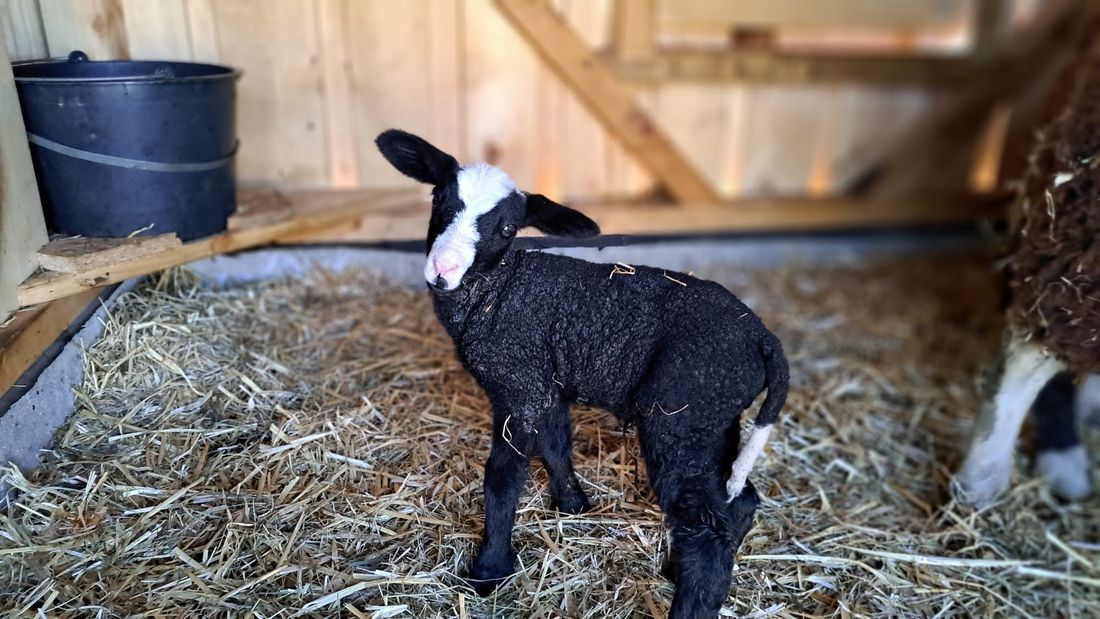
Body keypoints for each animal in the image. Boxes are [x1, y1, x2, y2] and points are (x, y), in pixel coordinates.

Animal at [376, 129, 788, 617]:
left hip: (682, 410)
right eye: (439, 197)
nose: (442, 270)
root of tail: (763, 338)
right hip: (714, 414)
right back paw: (675, 566)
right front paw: (572, 503)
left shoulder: (519, 385)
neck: (496, 291)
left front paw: (490, 570)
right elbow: (556, 445)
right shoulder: (544, 382)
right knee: (738, 500)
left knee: (708, 527)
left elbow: (503, 478)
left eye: (508, 228)